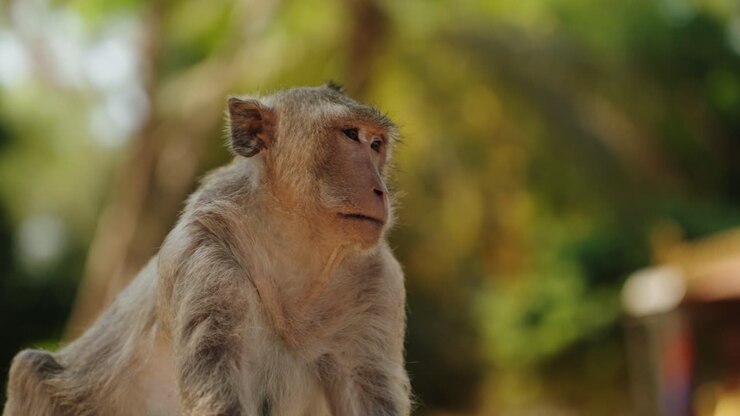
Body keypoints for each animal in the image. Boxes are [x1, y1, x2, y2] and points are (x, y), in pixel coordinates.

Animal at [3, 83, 411, 416]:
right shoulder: (205, 256)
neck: (294, 249)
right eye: (350, 135)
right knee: (30, 371)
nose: (380, 190)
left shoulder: (379, 283)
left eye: (376, 144)